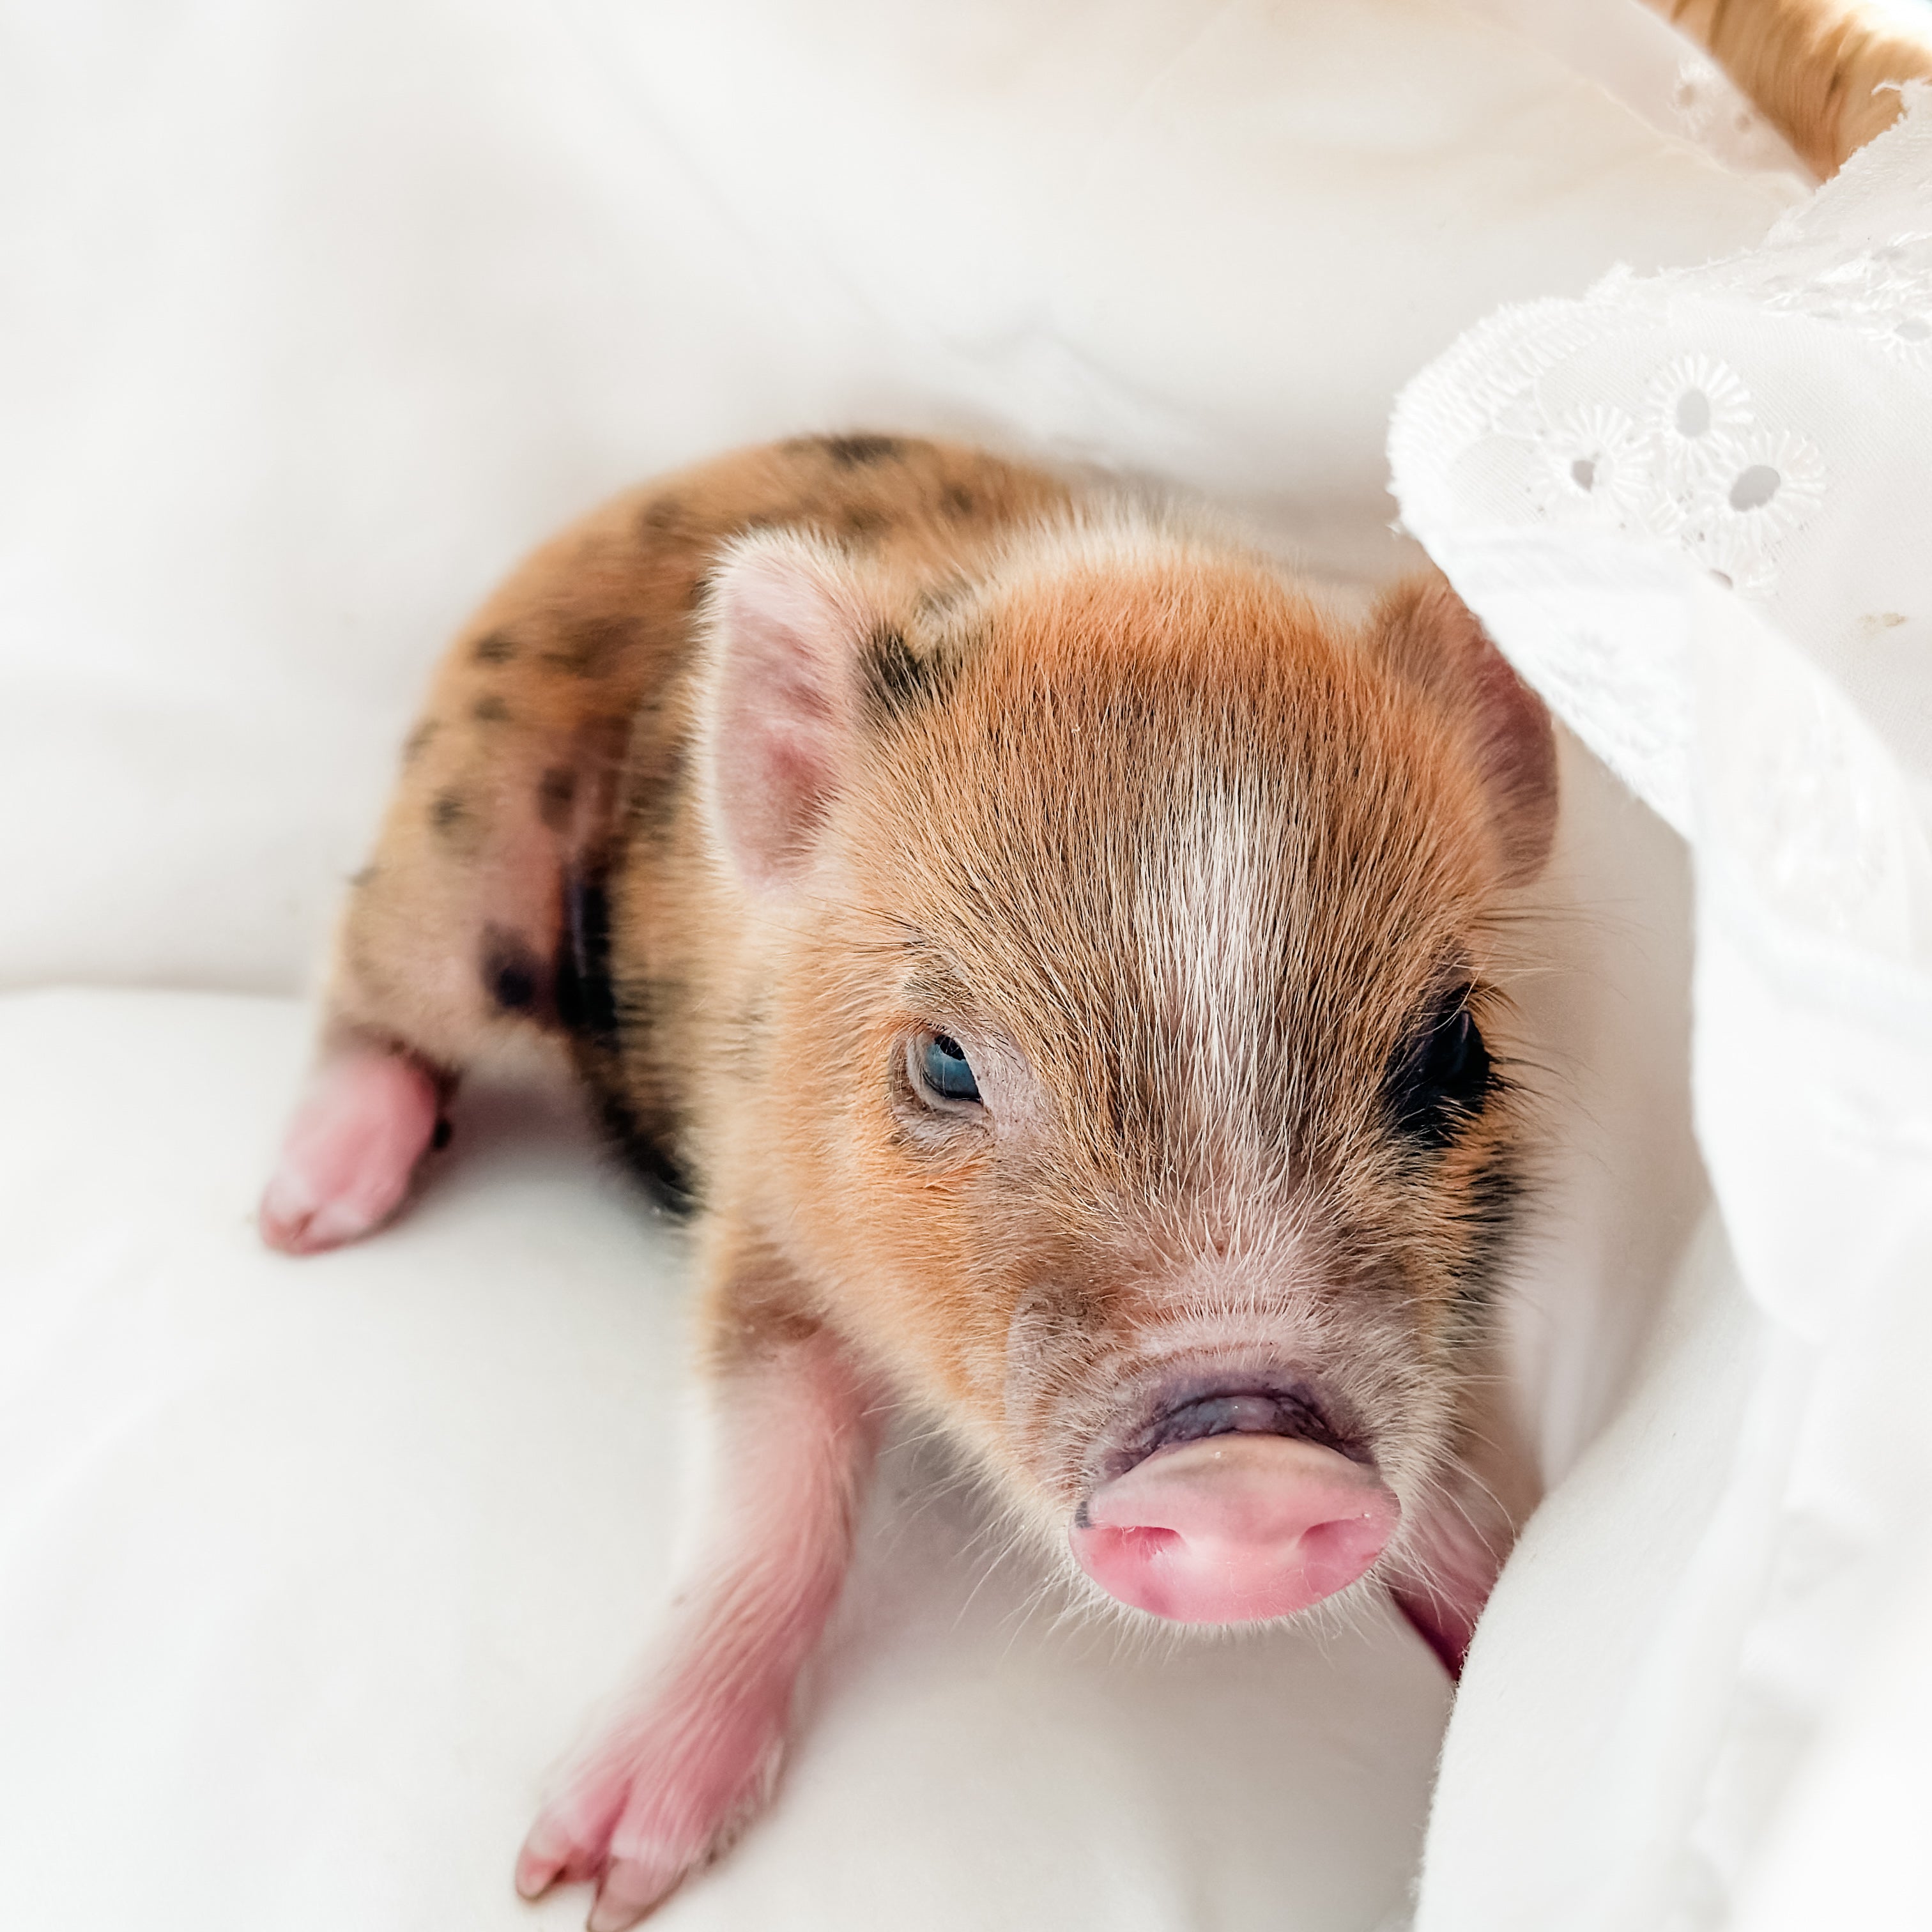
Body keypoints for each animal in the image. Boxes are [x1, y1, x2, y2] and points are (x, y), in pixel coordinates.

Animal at [260, 433, 1555, 1929]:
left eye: (1454, 1050)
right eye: (943, 1062)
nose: (1247, 1464)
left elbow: (1459, 1476)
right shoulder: (762, 1208)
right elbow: (768, 1495)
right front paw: (578, 1875)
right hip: (460, 859)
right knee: (373, 989)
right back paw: (307, 1210)